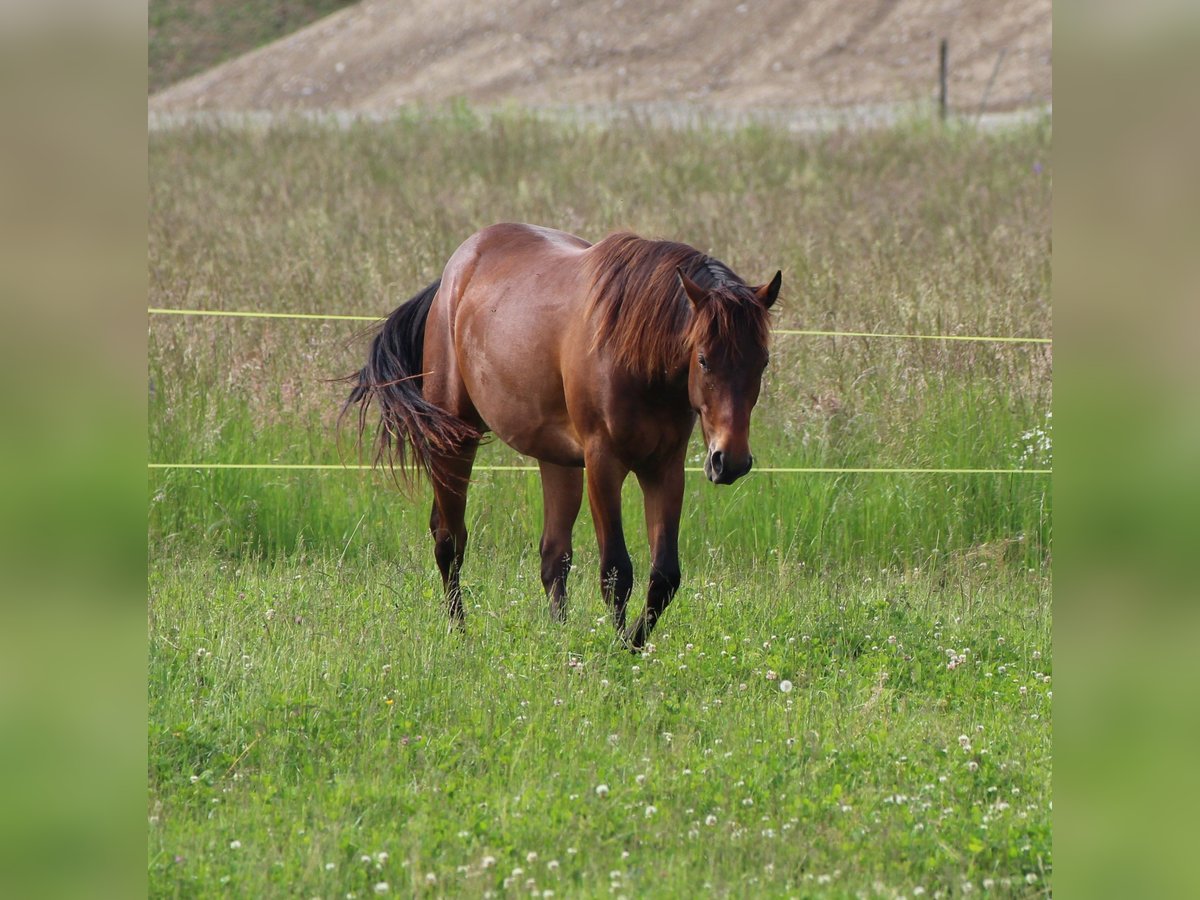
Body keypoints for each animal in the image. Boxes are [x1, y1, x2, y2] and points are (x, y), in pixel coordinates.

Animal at [343, 224, 782, 648]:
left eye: (762, 361)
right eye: (703, 359)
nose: (731, 461)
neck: (637, 355)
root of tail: (452, 276)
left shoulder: (665, 469)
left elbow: (664, 576)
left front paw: (635, 644)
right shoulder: (603, 464)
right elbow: (616, 572)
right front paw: (619, 651)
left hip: (557, 461)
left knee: (554, 555)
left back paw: (557, 635)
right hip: (455, 439)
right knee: (449, 541)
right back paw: (460, 632)